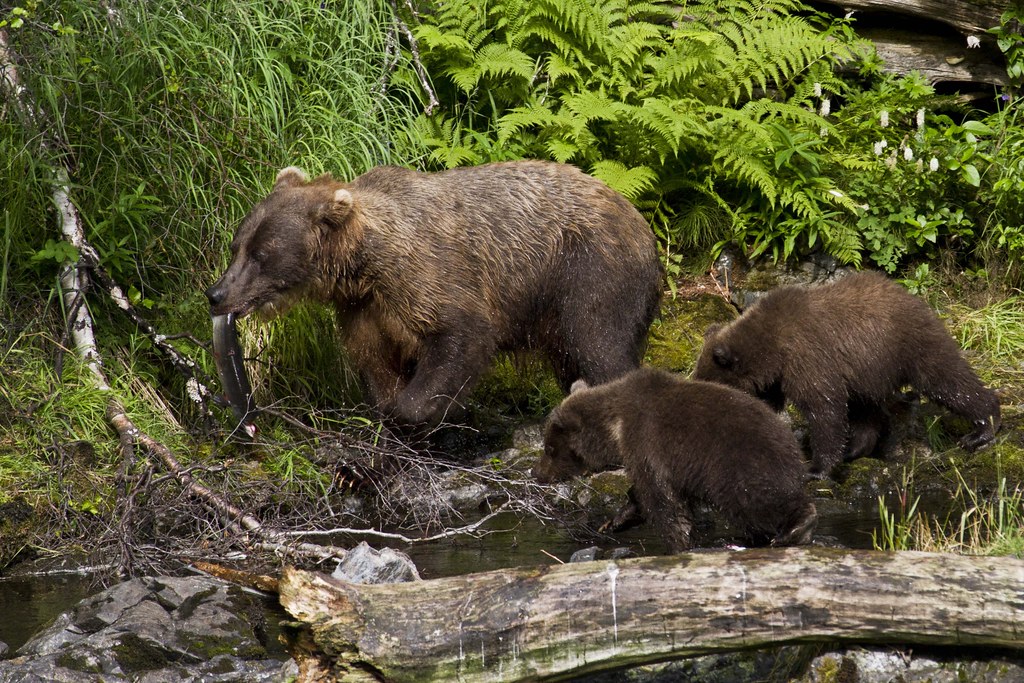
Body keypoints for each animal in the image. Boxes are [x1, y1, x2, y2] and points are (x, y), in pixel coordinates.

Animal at [205, 160, 662, 427]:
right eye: (237, 245)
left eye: (262, 254)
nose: (216, 293)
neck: (362, 265)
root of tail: (644, 225)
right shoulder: (363, 308)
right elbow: (375, 362)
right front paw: (388, 408)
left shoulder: (427, 276)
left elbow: (462, 335)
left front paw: (429, 409)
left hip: (586, 271)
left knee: (599, 345)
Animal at [532, 368, 818, 552]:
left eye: (549, 448)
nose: (537, 473)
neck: (616, 427)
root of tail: (794, 446)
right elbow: (645, 495)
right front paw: (615, 521)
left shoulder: (647, 441)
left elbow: (663, 500)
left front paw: (678, 542)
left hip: (740, 468)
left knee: (757, 504)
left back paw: (797, 527)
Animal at [693, 270, 1001, 479]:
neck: (772, 349)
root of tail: (912, 296)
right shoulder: (777, 380)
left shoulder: (808, 358)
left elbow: (824, 408)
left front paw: (816, 467)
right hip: (868, 370)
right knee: (868, 409)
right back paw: (855, 448)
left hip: (909, 344)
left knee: (946, 379)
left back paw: (981, 429)